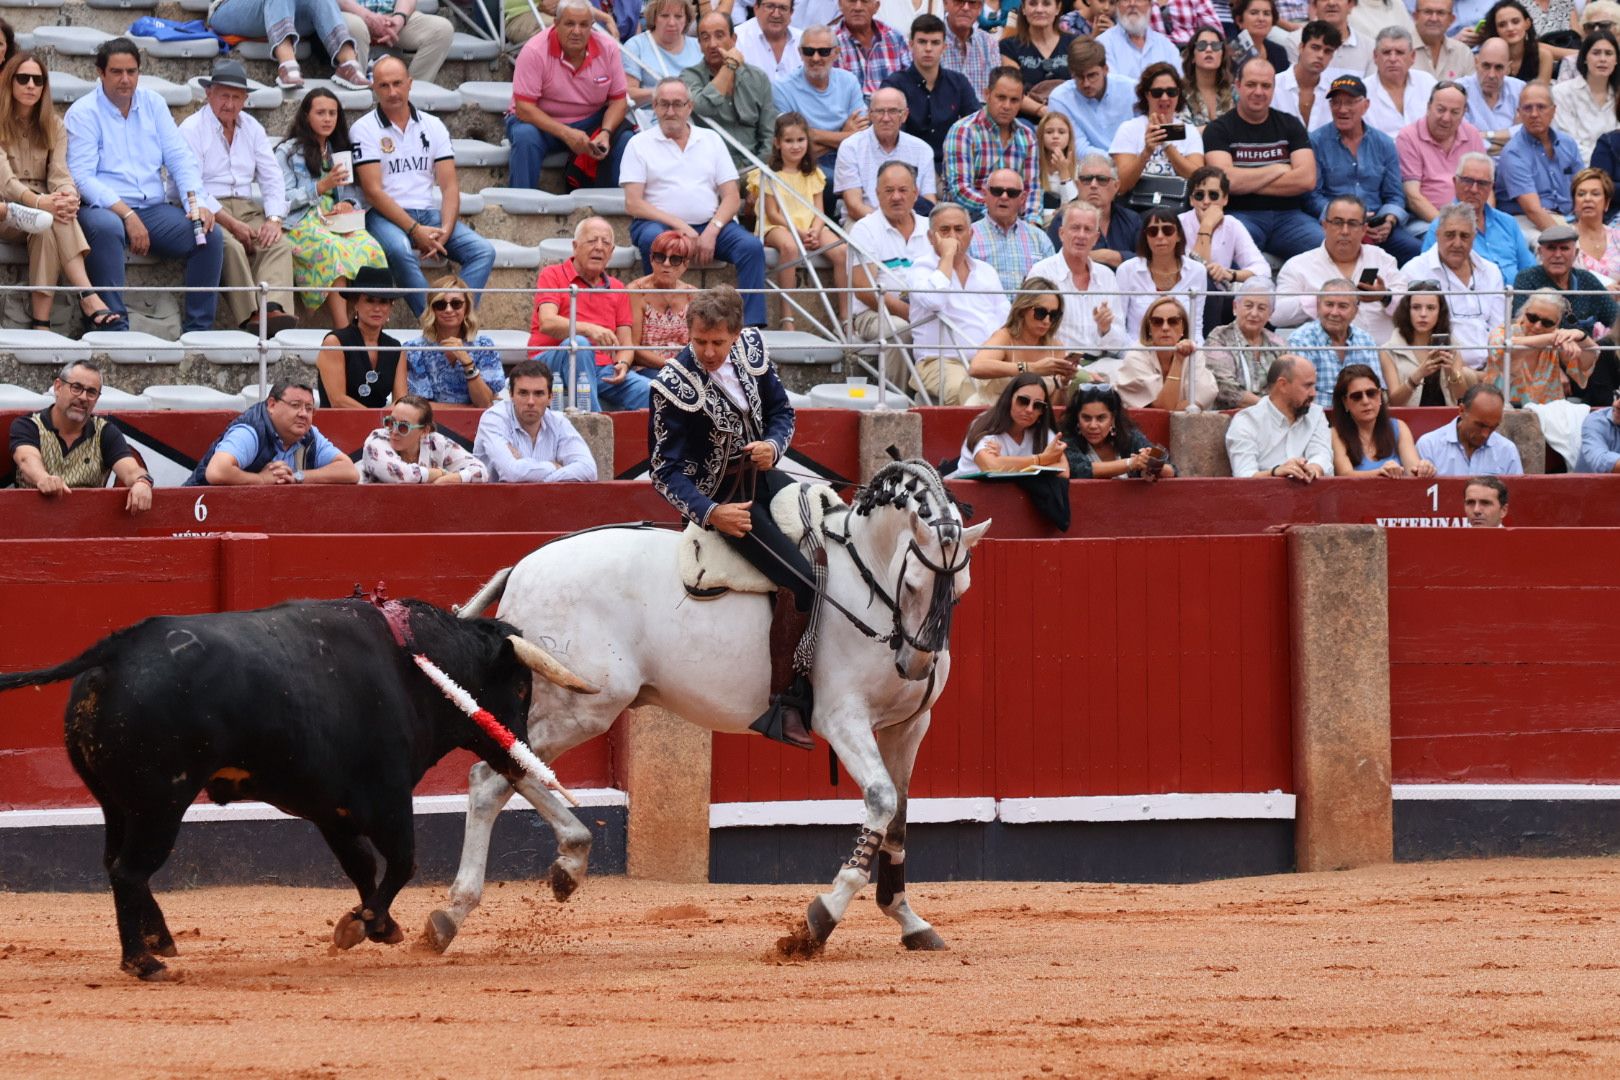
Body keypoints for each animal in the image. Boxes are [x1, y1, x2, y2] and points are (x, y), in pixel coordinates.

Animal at [0, 595, 589, 984]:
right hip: (160, 803)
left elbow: (362, 865)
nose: (520, 755)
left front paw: (377, 925)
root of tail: (114, 652)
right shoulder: (387, 796)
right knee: (129, 870)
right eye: (521, 687)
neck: (414, 665)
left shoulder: (332, 808)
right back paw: (144, 962)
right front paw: (365, 926)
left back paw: (157, 940)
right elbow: (402, 862)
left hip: (117, 804)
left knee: (115, 864)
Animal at [427, 459, 984, 958]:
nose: (916, 664)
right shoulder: (842, 718)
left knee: (502, 772)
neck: (866, 580)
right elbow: (882, 799)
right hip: (582, 706)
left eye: (961, 592)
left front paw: (909, 919)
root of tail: (522, 568)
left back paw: (525, 880)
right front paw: (817, 922)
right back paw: (480, 899)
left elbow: (900, 816)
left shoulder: (908, 726)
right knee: (490, 775)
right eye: (912, 584)